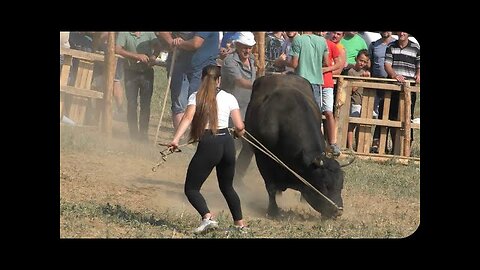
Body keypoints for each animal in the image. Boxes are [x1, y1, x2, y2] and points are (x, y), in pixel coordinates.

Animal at [244, 74, 348, 219]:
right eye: (325, 185)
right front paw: (273, 211)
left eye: (341, 186)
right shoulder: (263, 158)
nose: (338, 211)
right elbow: (270, 187)